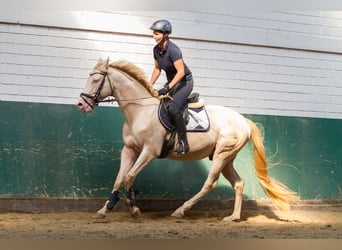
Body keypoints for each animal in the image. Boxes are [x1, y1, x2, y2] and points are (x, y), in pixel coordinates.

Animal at [75, 57, 300, 222]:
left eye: (95, 80)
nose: (81, 105)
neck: (140, 112)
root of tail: (242, 119)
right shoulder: (130, 149)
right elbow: (119, 178)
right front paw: (105, 209)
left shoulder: (149, 151)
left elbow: (129, 176)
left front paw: (134, 209)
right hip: (227, 158)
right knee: (238, 183)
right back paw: (233, 217)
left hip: (222, 154)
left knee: (210, 184)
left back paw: (180, 210)